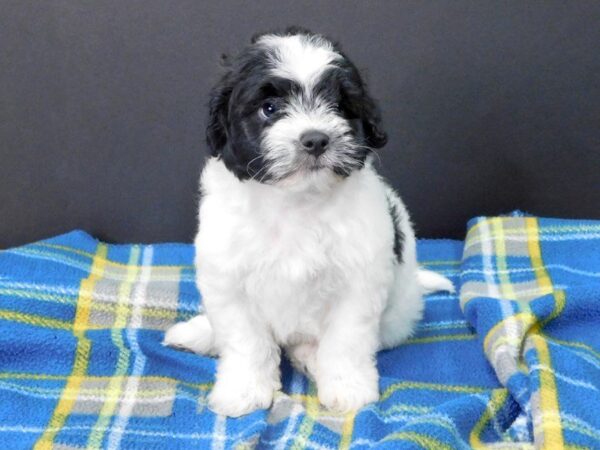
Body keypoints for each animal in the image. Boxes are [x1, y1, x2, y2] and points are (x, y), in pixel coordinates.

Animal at [164, 26, 450, 416]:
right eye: (269, 109)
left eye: (339, 107)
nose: (315, 139)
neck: (296, 201)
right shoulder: (226, 280)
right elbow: (245, 341)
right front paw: (244, 390)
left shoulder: (359, 284)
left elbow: (346, 340)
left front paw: (347, 388)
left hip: (396, 315)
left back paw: (309, 357)